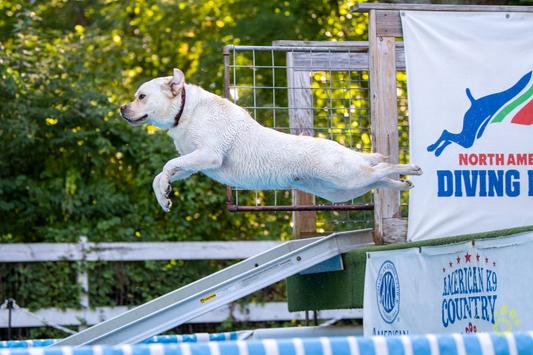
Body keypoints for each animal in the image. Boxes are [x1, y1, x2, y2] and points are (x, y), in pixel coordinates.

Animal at [119, 69, 420, 213]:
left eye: (141, 96)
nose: (122, 108)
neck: (185, 112)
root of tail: (345, 150)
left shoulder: (209, 155)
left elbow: (167, 165)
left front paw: (164, 190)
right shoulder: (194, 163)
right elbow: (162, 174)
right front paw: (163, 196)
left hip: (344, 176)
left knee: (382, 167)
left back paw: (409, 168)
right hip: (341, 189)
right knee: (378, 179)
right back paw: (403, 184)